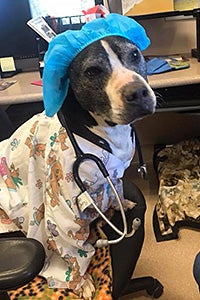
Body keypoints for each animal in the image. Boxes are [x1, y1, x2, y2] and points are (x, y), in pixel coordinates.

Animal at [0, 34, 156, 298]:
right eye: (92, 71)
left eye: (134, 54)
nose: (137, 92)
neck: (100, 129)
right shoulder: (63, 208)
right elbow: (70, 247)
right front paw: (81, 282)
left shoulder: (114, 175)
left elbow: (117, 190)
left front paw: (122, 204)